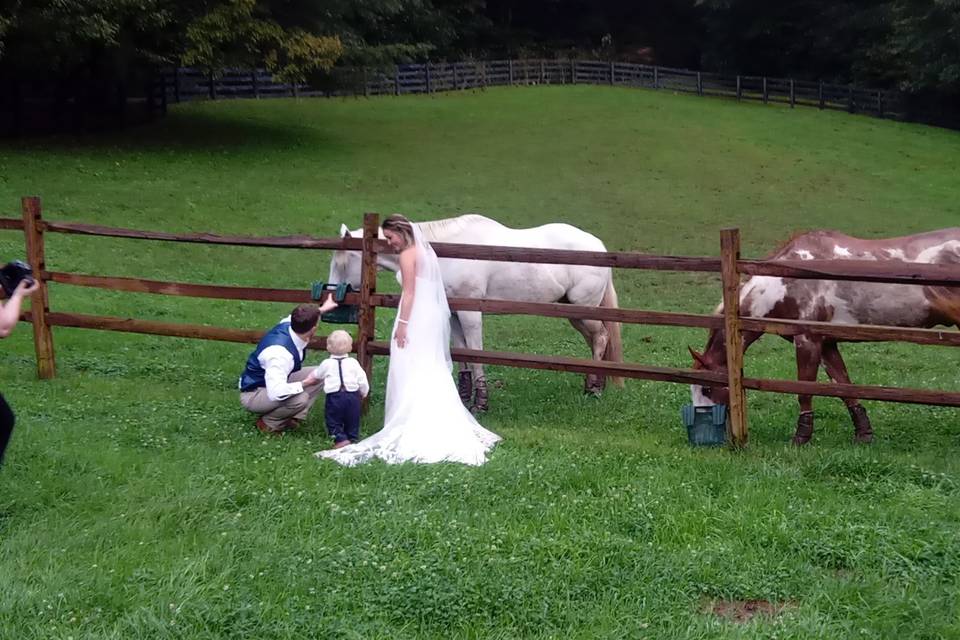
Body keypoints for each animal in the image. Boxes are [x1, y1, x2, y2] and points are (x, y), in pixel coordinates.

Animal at [326, 212, 628, 408]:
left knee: (601, 337)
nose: (331, 297)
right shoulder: (455, 314)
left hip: (583, 310)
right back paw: (596, 384)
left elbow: (476, 352)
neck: (448, 251)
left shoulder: (472, 314)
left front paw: (481, 402)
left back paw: (593, 388)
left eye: (344, 259)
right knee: (596, 339)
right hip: (574, 313)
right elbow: (463, 354)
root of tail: (599, 246)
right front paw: (463, 396)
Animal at [688, 229, 960, 444]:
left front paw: (801, 438)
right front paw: (864, 435)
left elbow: (805, 390)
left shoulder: (807, 341)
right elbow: (845, 388)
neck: (786, 280)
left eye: (707, 388)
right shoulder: (827, 345)